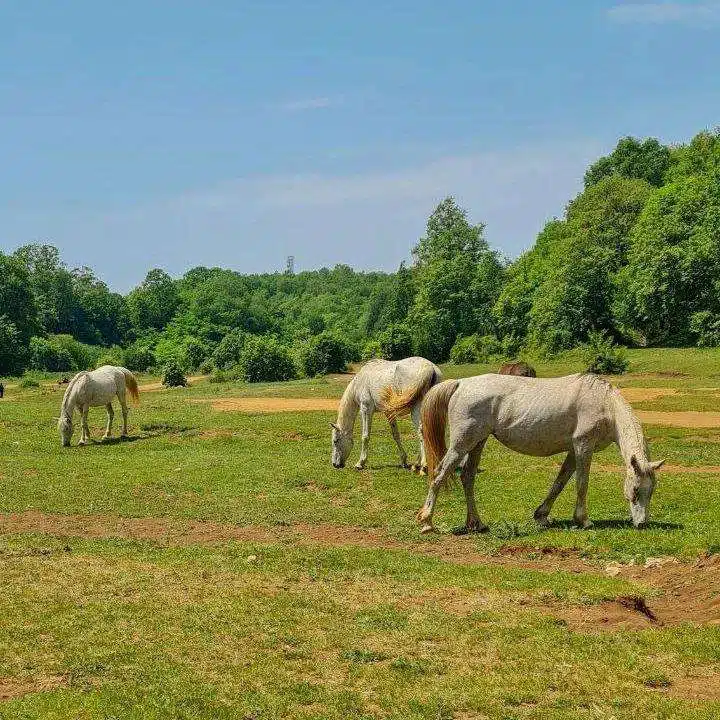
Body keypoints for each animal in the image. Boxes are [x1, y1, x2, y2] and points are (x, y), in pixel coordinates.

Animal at [388, 372, 664, 536]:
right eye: (635, 490)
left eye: (651, 491)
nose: (642, 524)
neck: (604, 404)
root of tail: (461, 383)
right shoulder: (583, 447)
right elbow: (581, 484)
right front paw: (583, 520)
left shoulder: (573, 451)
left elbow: (560, 482)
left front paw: (542, 516)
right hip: (461, 444)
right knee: (439, 475)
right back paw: (427, 522)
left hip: (477, 442)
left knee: (467, 477)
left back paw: (476, 523)